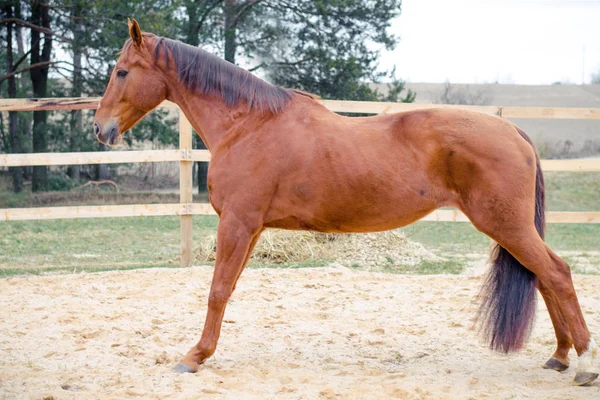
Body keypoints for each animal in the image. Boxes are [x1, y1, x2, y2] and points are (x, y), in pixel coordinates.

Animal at [91, 19, 596, 384]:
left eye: (121, 72)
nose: (100, 128)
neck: (247, 124)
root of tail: (512, 129)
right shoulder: (250, 228)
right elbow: (227, 288)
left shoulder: (237, 222)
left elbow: (217, 290)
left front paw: (194, 356)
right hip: (512, 229)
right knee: (546, 278)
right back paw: (559, 356)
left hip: (506, 225)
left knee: (556, 273)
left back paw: (585, 363)